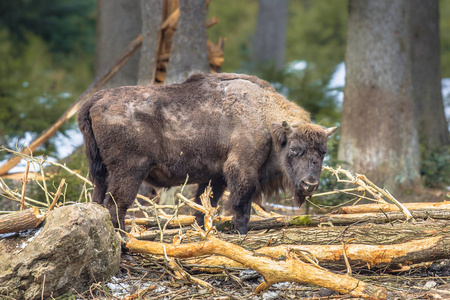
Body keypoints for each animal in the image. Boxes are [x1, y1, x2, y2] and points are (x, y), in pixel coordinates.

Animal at [77, 73, 336, 234]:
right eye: (294, 150)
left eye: (323, 153)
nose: (310, 184)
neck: (263, 116)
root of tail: (96, 99)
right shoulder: (242, 170)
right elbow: (241, 207)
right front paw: (241, 234)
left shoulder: (215, 177)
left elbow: (203, 208)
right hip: (129, 171)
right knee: (116, 203)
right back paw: (124, 239)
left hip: (100, 172)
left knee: (99, 199)